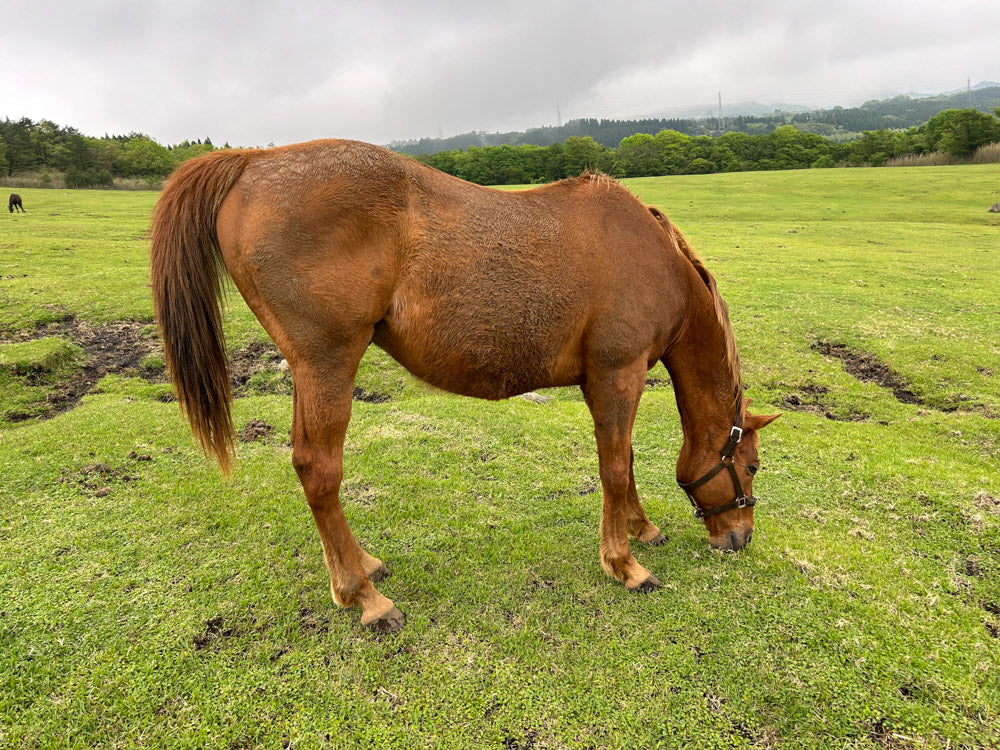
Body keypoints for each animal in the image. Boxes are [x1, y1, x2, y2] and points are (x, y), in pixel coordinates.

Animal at [150, 138, 780, 632]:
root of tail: (254, 161)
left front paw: (641, 529)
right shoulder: (617, 375)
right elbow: (616, 467)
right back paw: (365, 598)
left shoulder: (605, 382)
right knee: (318, 470)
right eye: (750, 467)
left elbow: (621, 464)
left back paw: (361, 569)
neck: (652, 258)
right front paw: (625, 564)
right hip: (326, 363)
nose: (740, 538)